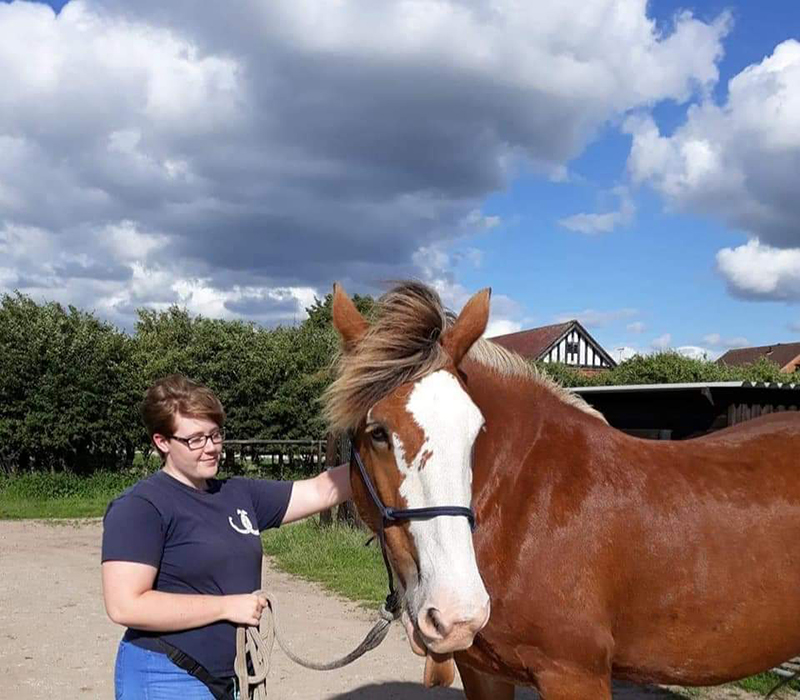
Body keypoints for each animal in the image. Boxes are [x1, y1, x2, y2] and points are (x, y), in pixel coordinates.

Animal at [324, 278, 800, 700]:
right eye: (378, 433)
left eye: (476, 431)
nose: (458, 611)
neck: (527, 504)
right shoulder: (483, 673)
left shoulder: (574, 676)